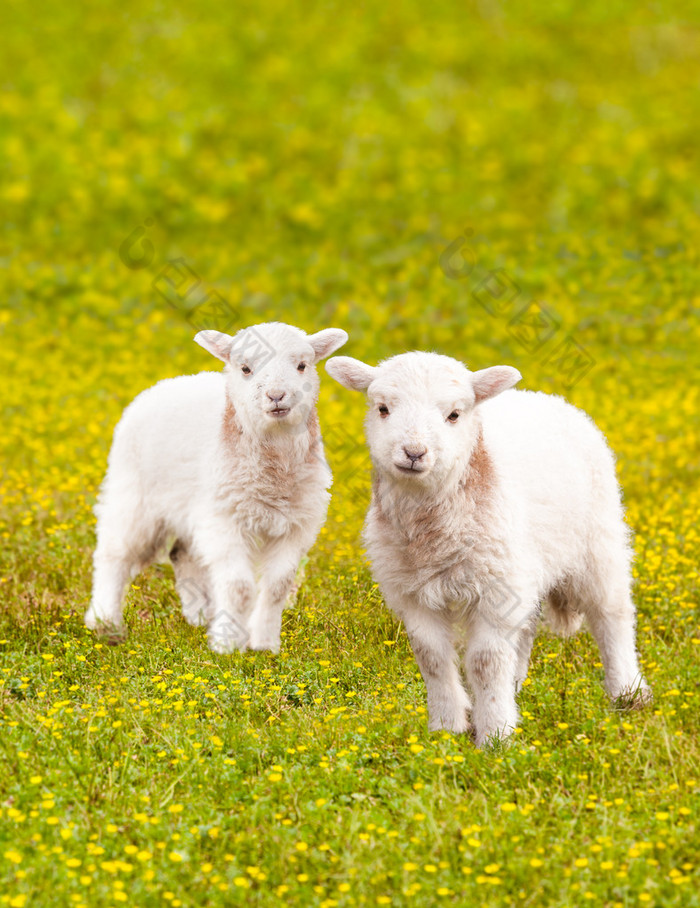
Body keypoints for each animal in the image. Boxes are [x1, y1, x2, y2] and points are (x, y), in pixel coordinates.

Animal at [85, 322, 348, 656]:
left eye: (302, 365)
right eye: (245, 368)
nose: (276, 396)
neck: (274, 476)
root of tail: (173, 381)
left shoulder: (295, 525)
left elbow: (277, 586)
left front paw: (264, 644)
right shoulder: (225, 521)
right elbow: (239, 587)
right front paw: (228, 645)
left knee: (182, 554)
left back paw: (201, 615)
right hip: (133, 493)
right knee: (113, 554)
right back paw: (104, 620)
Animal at [326, 352, 652, 744]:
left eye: (454, 415)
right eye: (383, 408)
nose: (414, 453)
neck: (431, 535)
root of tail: (541, 396)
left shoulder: (495, 589)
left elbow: (486, 662)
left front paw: (496, 735)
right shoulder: (412, 591)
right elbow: (431, 657)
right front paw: (446, 727)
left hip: (597, 540)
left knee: (612, 614)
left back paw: (628, 692)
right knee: (526, 626)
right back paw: (516, 685)